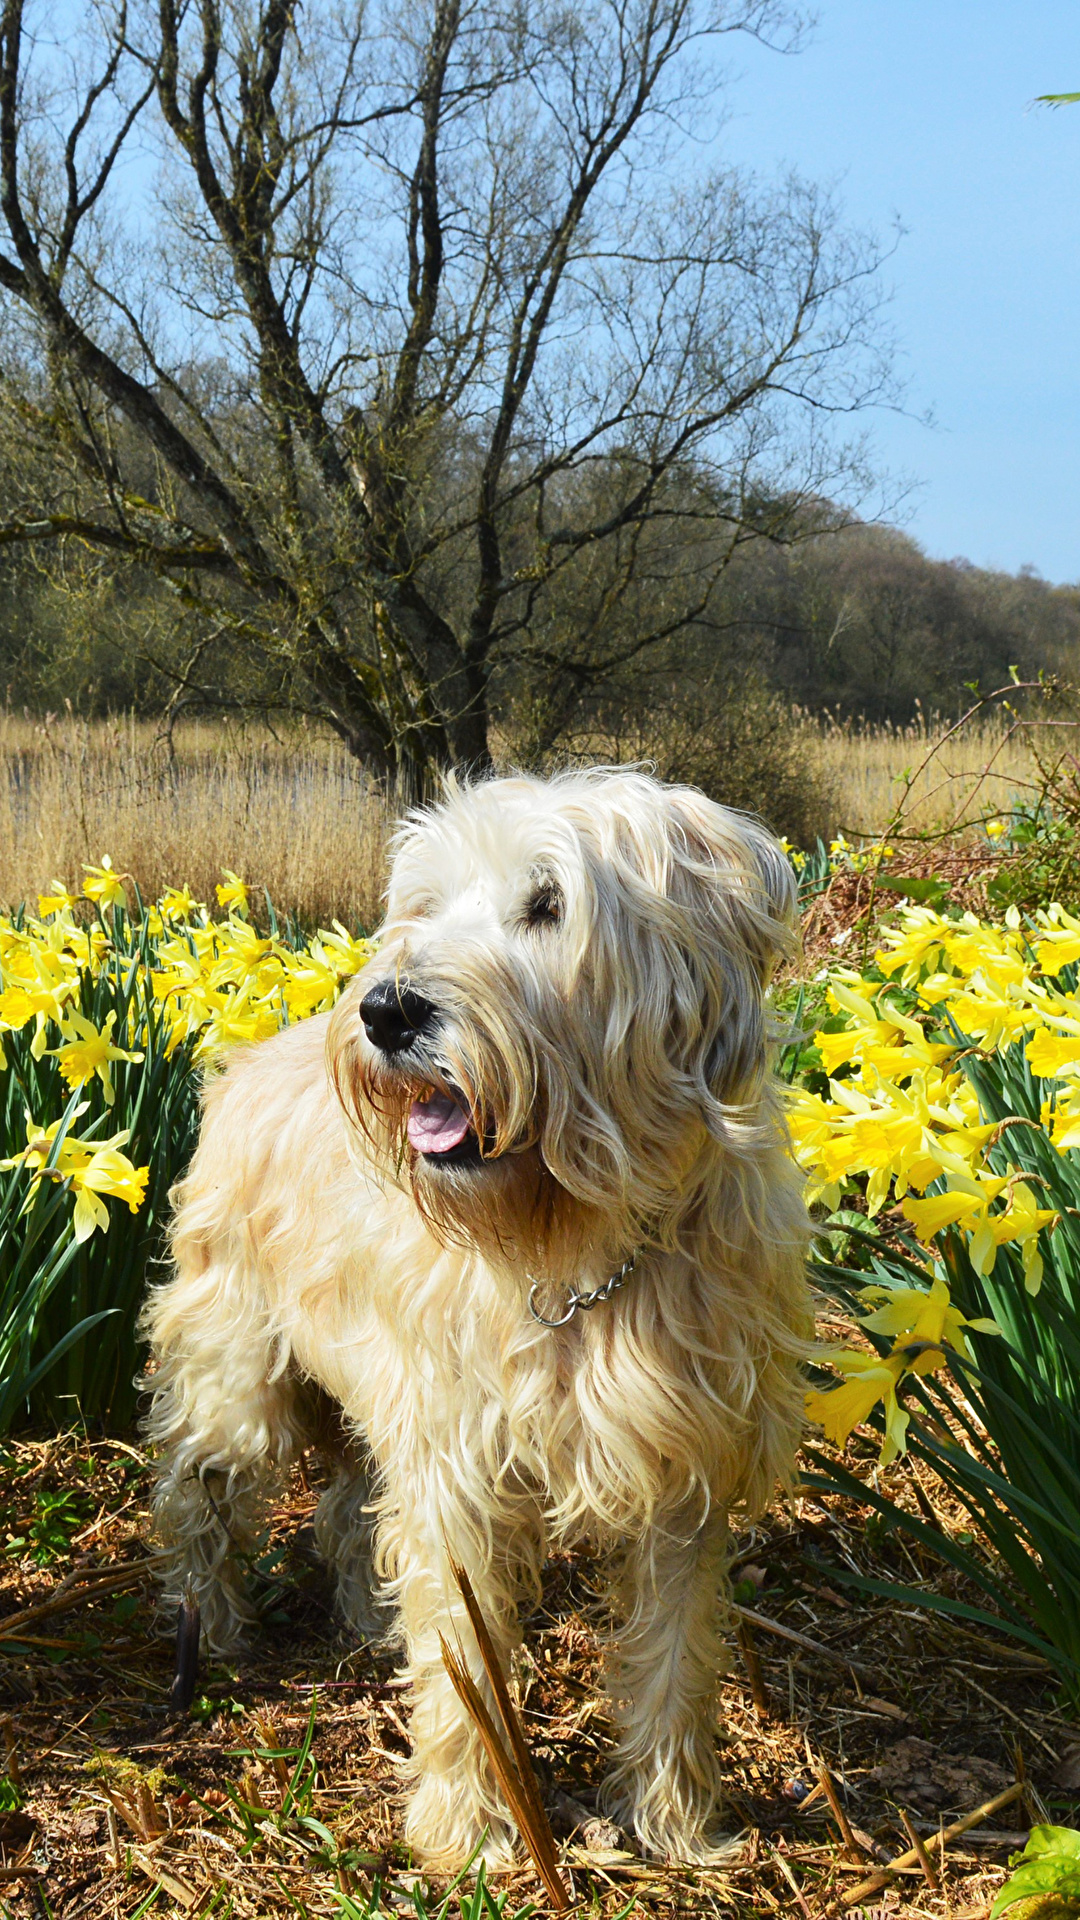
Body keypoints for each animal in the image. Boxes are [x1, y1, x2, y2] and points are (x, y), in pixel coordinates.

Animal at [143, 764, 807, 1858]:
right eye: (422, 906)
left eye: (547, 905)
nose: (385, 1009)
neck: (580, 1246)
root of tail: (245, 1059)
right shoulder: (458, 1460)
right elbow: (463, 1653)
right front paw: (471, 1830)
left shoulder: (684, 1473)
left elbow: (673, 1655)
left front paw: (673, 1823)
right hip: (235, 1376)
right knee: (200, 1495)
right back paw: (209, 1630)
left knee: (345, 1506)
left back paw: (364, 1614)